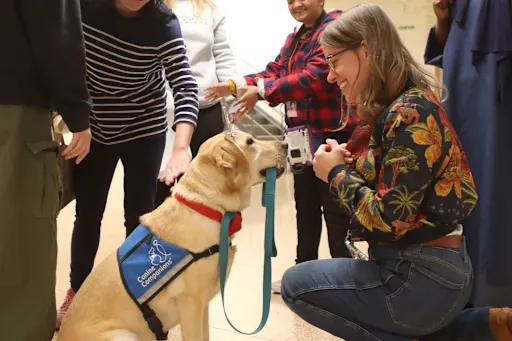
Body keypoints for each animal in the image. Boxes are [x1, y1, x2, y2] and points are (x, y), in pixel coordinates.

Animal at [57, 131, 288, 340]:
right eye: (250, 141)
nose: (285, 144)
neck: (206, 207)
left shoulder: (203, 306)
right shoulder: (191, 305)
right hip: (123, 335)